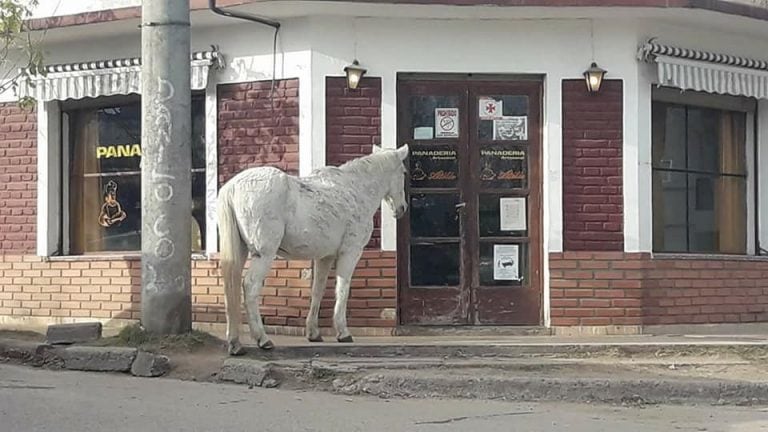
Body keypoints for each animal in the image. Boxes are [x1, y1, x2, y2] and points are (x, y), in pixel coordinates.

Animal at [216, 145, 408, 354]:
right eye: (404, 172)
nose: (402, 208)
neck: (355, 190)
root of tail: (232, 188)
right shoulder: (350, 252)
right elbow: (342, 289)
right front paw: (343, 332)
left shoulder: (325, 257)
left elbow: (318, 290)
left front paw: (313, 332)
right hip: (264, 254)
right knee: (250, 286)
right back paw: (263, 339)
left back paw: (235, 342)